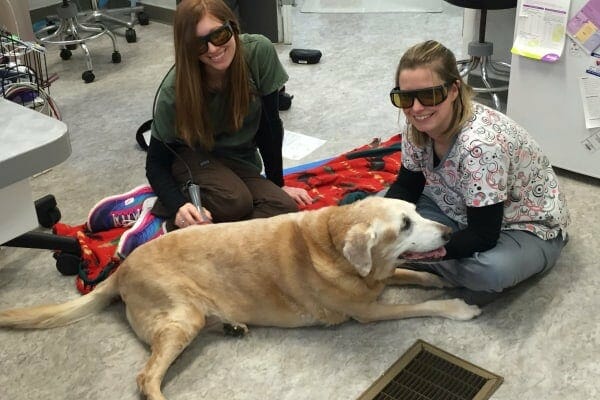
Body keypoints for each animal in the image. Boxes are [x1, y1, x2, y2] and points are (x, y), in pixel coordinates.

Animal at [0, 198, 480, 400]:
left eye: (416, 212)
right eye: (404, 224)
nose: (448, 233)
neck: (329, 241)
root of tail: (121, 268)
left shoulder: (382, 279)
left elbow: (416, 276)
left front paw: (441, 280)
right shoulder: (368, 310)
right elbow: (418, 304)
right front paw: (458, 306)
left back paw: (230, 324)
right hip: (181, 316)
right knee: (146, 377)